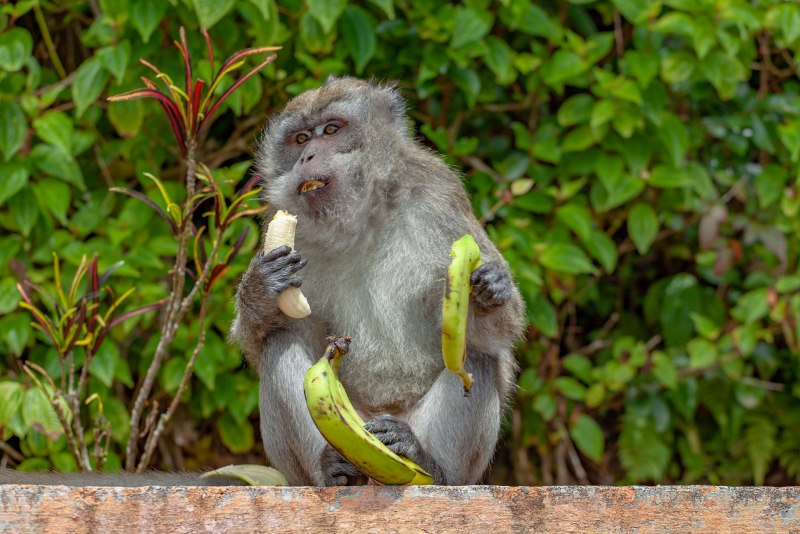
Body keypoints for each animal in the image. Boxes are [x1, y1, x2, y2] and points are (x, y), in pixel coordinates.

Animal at [230, 77, 526, 486]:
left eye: (331, 130)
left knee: (477, 358)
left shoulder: (440, 197)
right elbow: (259, 345)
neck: (362, 218)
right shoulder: (284, 219)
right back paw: (331, 471)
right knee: (279, 344)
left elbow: (501, 336)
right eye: (300, 138)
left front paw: (488, 292)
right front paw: (260, 289)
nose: (307, 157)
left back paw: (428, 463)